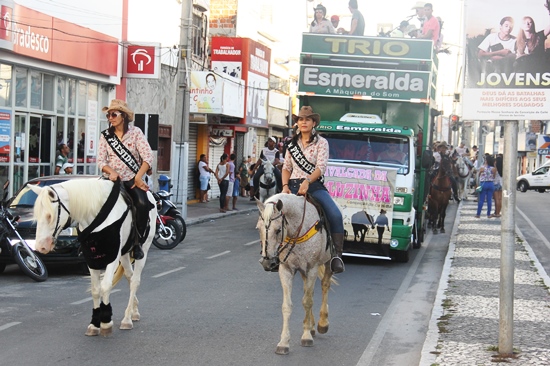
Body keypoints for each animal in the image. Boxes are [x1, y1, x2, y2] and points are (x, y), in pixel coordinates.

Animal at [31, 179, 156, 336]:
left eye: (49, 216)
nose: (40, 247)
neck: (96, 215)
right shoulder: (91, 258)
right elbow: (95, 289)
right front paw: (94, 324)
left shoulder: (112, 256)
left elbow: (105, 286)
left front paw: (106, 322)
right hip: (124, 254)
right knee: (129, 275)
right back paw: (134, 311)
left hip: (143, 248)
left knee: (135, 281)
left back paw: (127, 319)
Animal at [258, 194, 336, 354]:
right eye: (258, 228)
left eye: (278, 230)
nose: (267, 263)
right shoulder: (286, 270)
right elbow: (287, 305)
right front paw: (283, 342)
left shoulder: (312, 268)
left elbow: (307, 301)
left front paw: (306, 336)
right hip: (303, 272)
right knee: (309, 291)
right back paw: (312, 326)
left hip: (327, 262)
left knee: (325, 286)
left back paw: (322, 323)